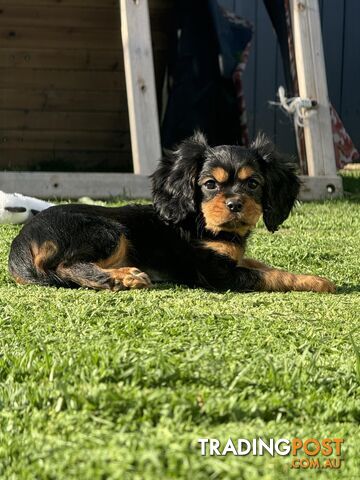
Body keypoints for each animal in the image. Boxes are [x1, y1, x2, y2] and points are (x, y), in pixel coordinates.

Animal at [7, 132, 334, 292]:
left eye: (253, 183)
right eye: (210, 184)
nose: (234, 204)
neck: (201, 222)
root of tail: (20, 242)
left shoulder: (232, 259)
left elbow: (262, 265)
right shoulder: (215, 273)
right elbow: (271, 276)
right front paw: (318, 282)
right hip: (108, 230)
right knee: (66, 266)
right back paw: (117, 278)